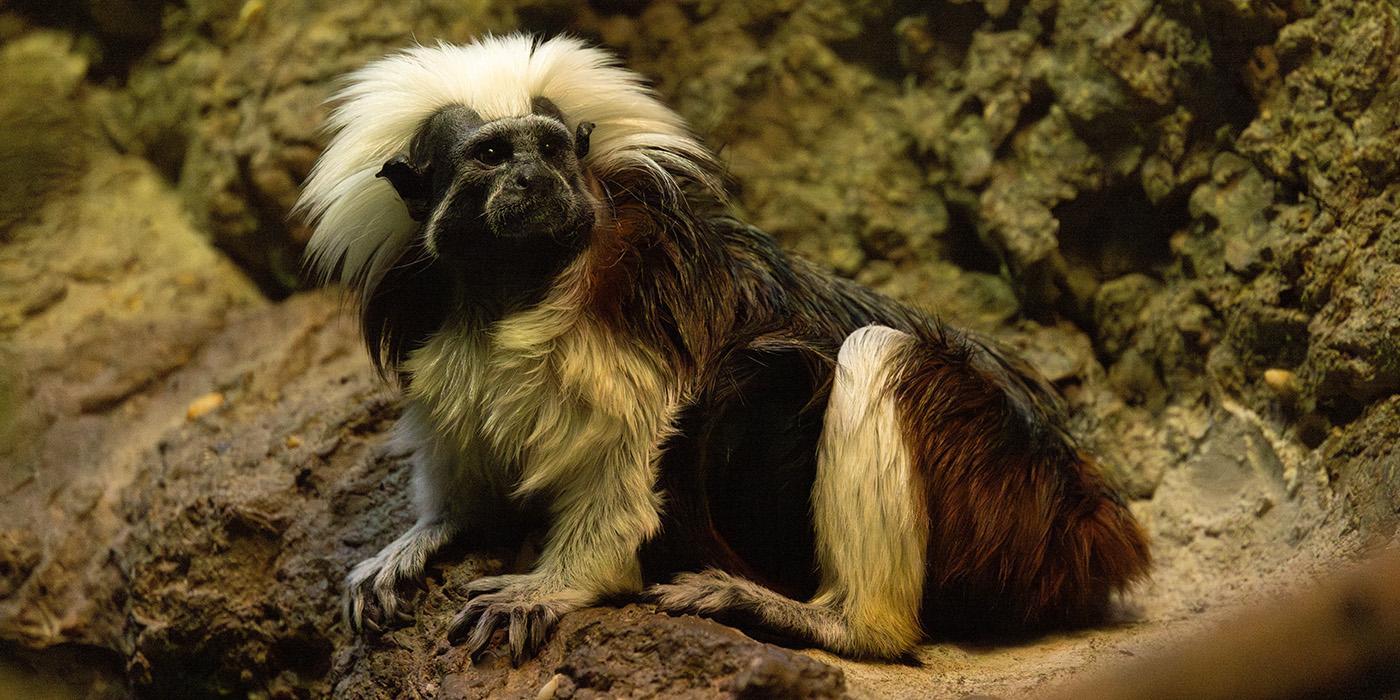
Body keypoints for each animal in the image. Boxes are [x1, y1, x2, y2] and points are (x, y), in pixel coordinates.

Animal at [295, 35, 1148, 663]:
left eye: (550, 148)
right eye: (493, 156)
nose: (537, 180)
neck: (515, 289)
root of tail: (1092, 513)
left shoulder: (636, 320)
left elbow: (630, 460)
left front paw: (554, 583)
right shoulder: (436, 323)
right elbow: (463, 445)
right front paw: (425, 536)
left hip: (1002, 492)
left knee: (878, 354)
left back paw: (827, 619)